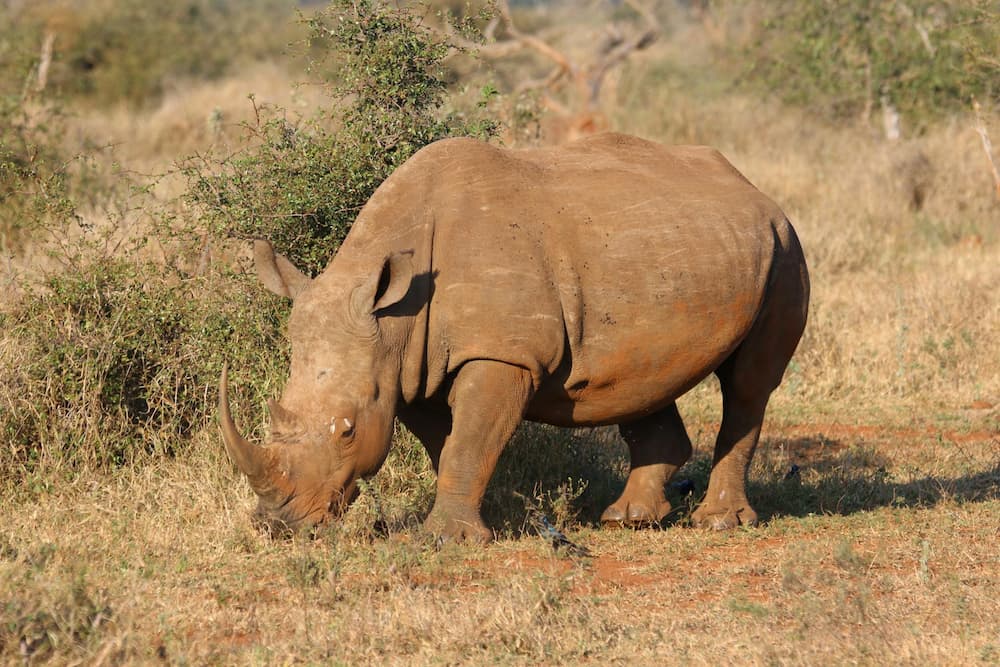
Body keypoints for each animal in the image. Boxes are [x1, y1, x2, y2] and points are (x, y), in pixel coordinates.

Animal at [219, 132, 809, 542]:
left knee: (749, 386)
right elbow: (450, 443)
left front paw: (445, 539)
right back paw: (629, 520)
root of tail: (755, 190)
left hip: (783, 246)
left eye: (347, 431)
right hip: (671, 252)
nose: (279, 524)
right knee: (644, 375)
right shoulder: (411, 368)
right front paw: (483, 520)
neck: (394, 319)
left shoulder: (502, 354)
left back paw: (719, 523)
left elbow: (468, 439)